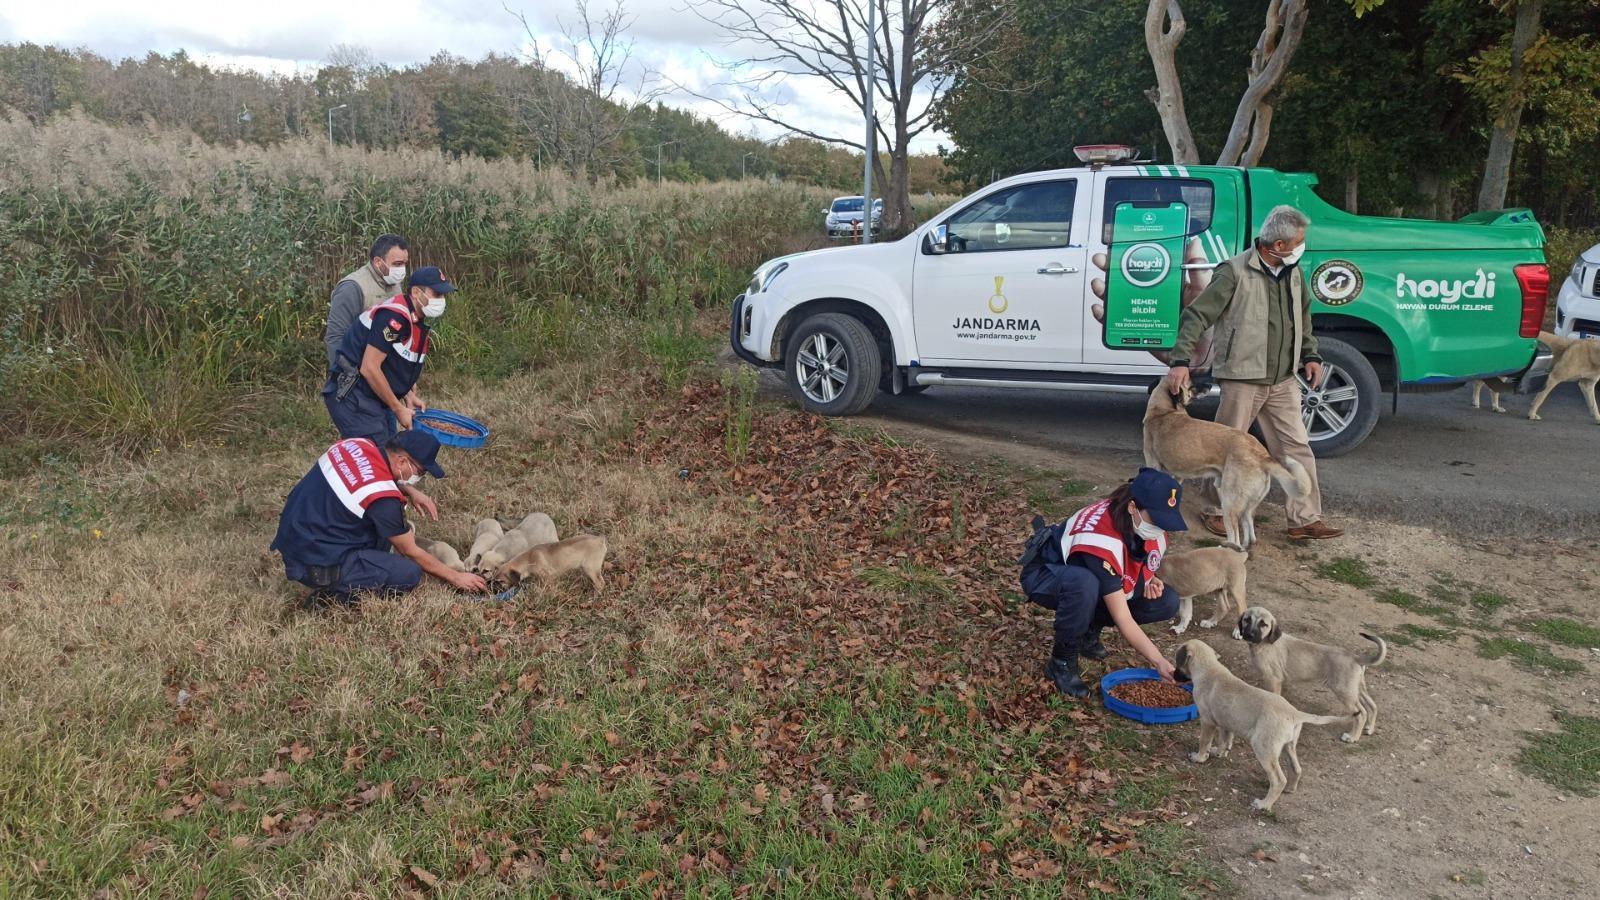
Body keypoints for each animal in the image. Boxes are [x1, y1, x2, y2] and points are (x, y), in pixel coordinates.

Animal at [1145, 379, 1305, 547]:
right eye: (1192, 384)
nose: (1210, 384)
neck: (1163, 410)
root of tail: (1262, 456)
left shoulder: (1153, 464)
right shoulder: (1178, 475)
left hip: (1229, 504)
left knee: (1235, 537)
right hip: (1247, 506)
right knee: (1249, 533)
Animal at [1171, 637, 1356, 813]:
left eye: (1177, 662)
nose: (1173, 676)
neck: (1208, 667)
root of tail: (1295, 713)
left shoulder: (1208, 721)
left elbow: (1204, 742)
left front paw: (1199, 757)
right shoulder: (1225, 722)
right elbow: (1224, 739)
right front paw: (1219, 752)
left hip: (1264, 748)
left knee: (1278, 780)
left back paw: (1263, 804)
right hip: (1289, 746)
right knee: (1296, 769)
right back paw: (1289, 789)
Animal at [1235, 602, 1388, 743]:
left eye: (1263, 624)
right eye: (1247, 619)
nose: (1249, 634)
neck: (1265, 643)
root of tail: (1355, 657)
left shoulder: (1273, 679)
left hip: (1344, 691)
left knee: (1361, 713)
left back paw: (1352, 737)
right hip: (1356, 688)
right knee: (1372, 705)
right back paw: (1369, 728)